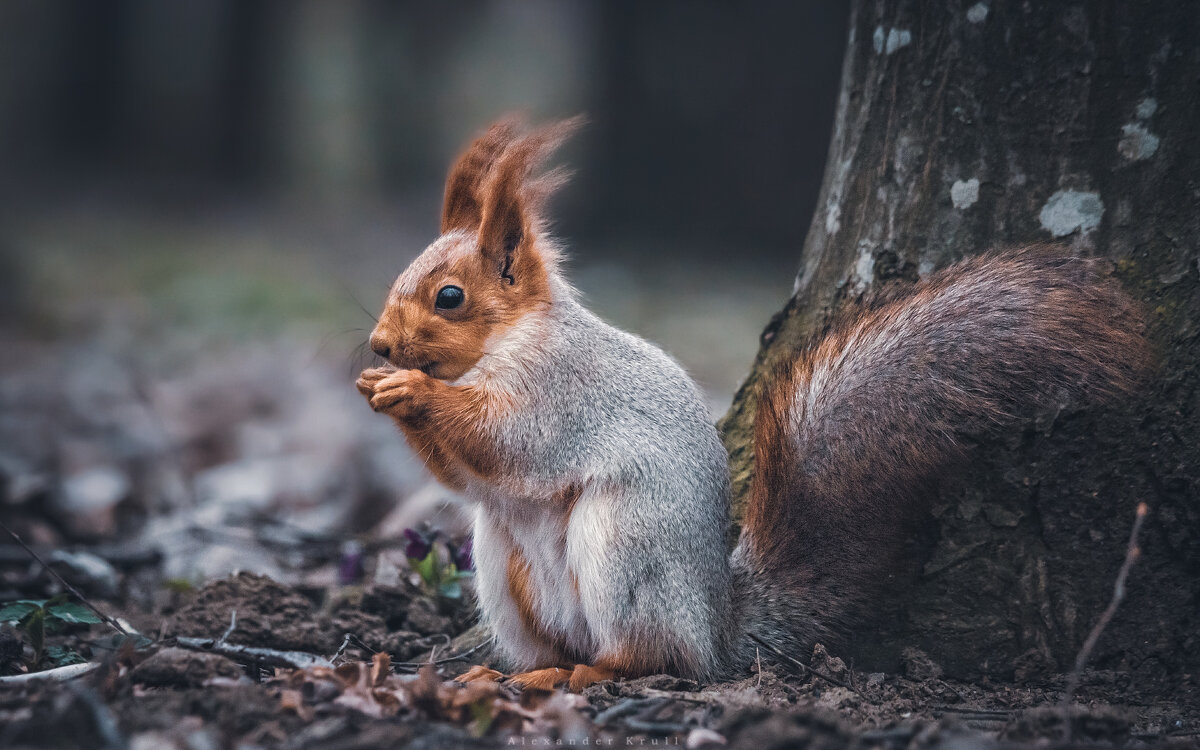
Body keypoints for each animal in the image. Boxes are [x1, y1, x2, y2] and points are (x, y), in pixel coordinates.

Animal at [357, 115, 1152, 691]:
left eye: (450, 297)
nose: (379, 344)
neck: (507, 342)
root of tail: (716, 628)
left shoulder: (561, 390)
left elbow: (507, 439)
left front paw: (411, 390)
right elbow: (467, 476)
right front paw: (379, 390)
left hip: (625, 549)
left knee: (651, 658)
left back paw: (589, 673)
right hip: (503, 568)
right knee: (557, 639)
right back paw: (517, 673)